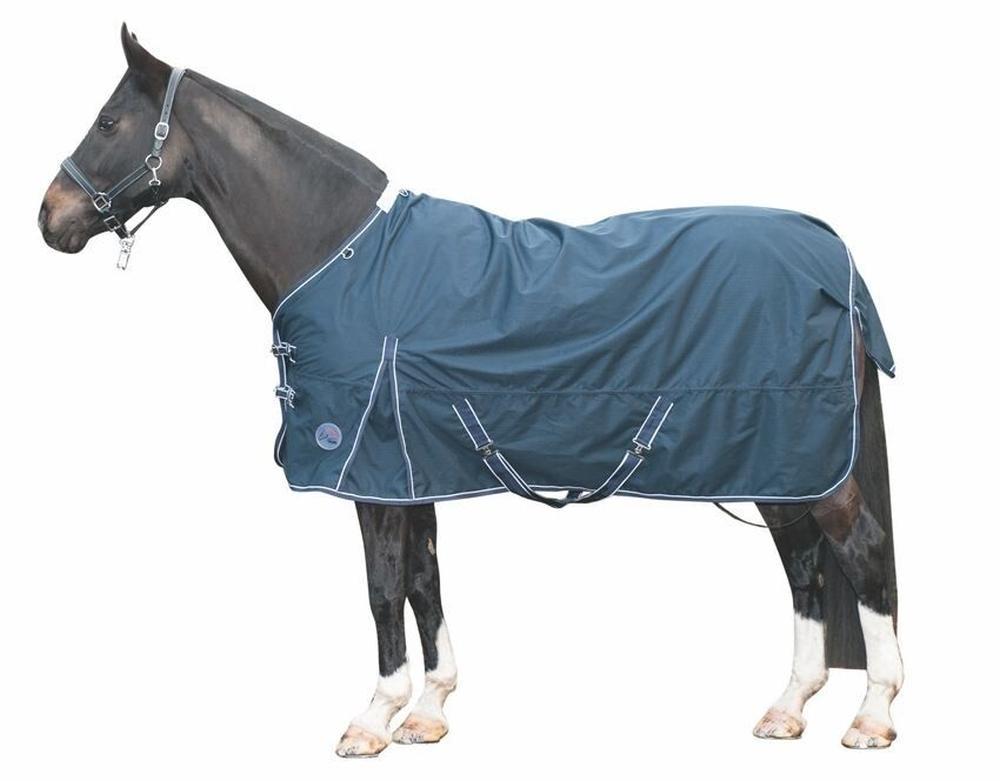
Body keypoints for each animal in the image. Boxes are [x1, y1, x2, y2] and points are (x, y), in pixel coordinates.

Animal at [38, 24, 903, 755]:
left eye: (108, 123)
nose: (50, 217)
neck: (341, 256)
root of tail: (836, 258)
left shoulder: (369, 473)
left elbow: (382, 587)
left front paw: (372, 718)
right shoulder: (412, 469)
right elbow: (424, 581)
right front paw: (428, 710)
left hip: (804, 459)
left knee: (861, 551)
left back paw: (872, 715)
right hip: (780, 462)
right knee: (803, 564)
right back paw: (788, 706)